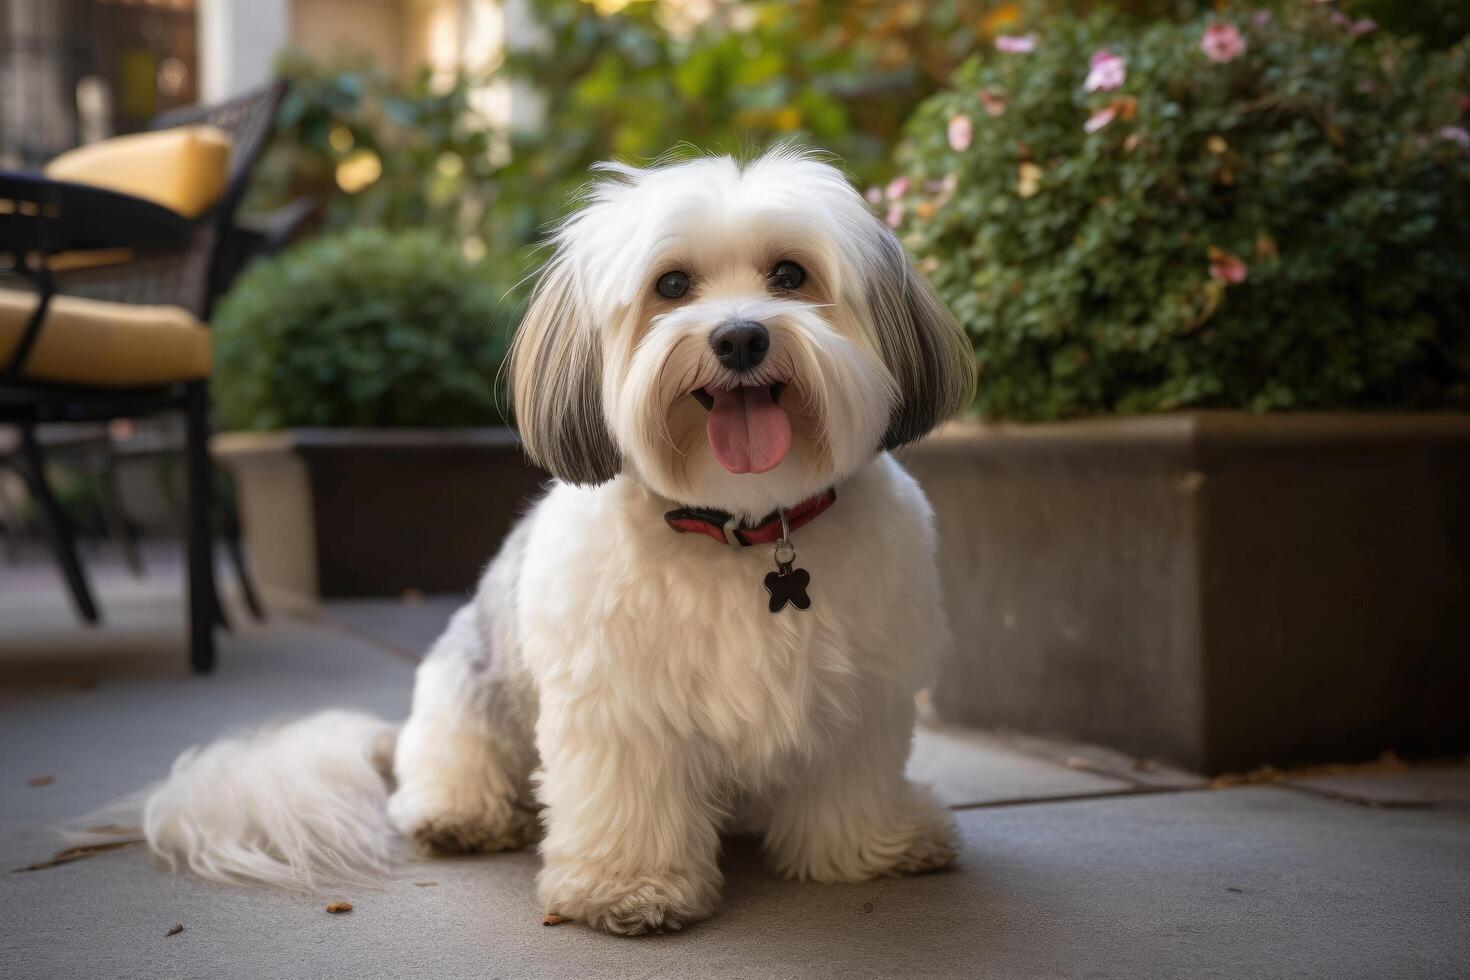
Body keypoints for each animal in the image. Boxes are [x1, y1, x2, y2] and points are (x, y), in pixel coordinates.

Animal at [140, 149, 976, 940]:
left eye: (790, 275)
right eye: (672, 284)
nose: (740, 336)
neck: (741, 528)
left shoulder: (858, 694)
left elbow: (851, 783)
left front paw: (870, 848)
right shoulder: (620, 704)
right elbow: (630, 801)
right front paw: (631, 888)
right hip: (463, 700)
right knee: (439, 774)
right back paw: (461, 814)